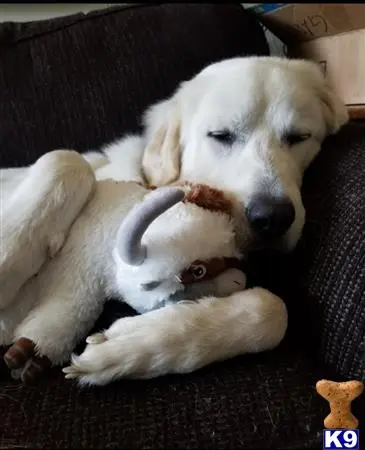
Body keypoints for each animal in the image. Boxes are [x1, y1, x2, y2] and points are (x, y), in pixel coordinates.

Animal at [0, 57, 346, 384]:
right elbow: (66, 159)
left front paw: (131, 344)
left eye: (299, 137)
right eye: (221, 136)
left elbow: (274, 310)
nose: (272, 218)